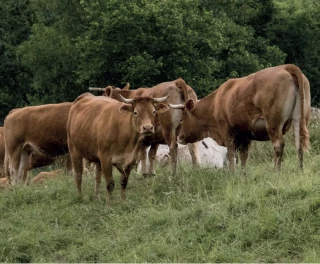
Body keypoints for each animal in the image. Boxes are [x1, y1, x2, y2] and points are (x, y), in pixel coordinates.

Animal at [170, 65, 310, 170]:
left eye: (182, 119)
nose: (179, 137)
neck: (216, 102)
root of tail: (286, 67)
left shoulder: (227, 132)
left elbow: (231, 155)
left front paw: (232, 173)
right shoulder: (246, 134)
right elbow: (243, 156)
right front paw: (243, 174)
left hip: (273, 124)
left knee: (278, 145)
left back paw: (276, 171)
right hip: (299, 119)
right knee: (299, 143)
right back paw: (300, 169)